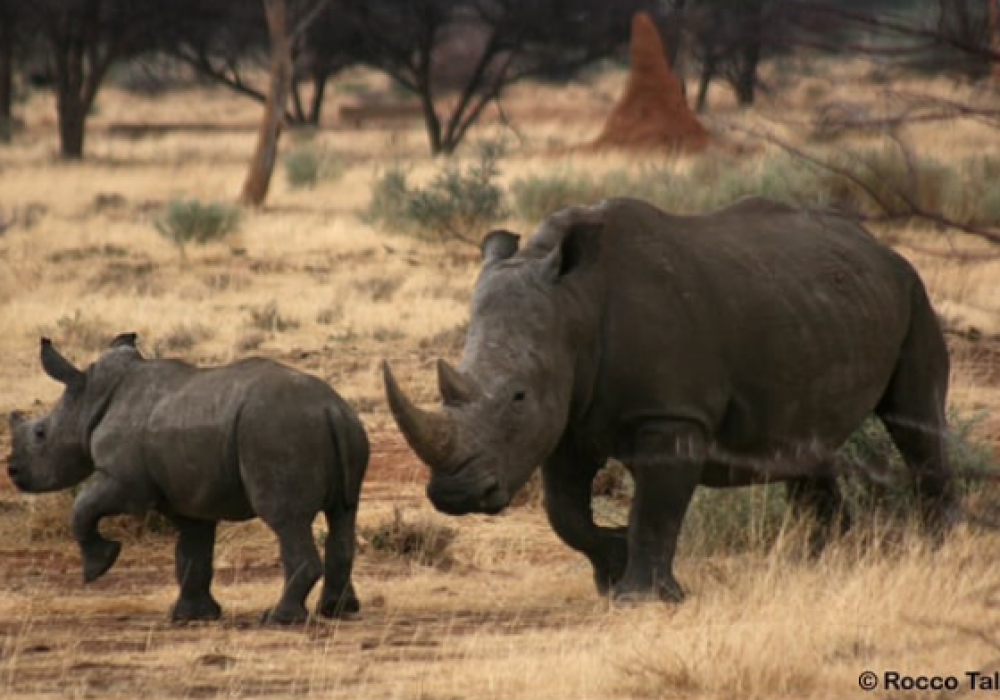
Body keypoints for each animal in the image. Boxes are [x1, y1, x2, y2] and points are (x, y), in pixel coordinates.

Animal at [7, 334, 368, 624]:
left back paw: (278, 619)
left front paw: (98, 566)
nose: (12, 471)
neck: (90, 402)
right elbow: (191, 552)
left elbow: (82, 508)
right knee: (342, 514)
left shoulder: (123, 481)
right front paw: (190, 616)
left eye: (40, 434)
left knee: (285, 520)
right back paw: (337, 611)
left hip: (276, 432)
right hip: (343, 429)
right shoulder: (190, 495)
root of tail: (330, 409)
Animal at [380, 196, 952, 600]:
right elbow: (563, 511)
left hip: (914, 291)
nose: (454, 496)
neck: (575, 304)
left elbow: (657, 505)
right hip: (818, 303)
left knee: (915, 419)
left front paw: (642, 597)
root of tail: (879, 245)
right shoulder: (568, 416)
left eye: (518, 397)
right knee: (804, 441)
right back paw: (822, 564)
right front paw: (611, 564)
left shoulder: (671, 413)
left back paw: (939, 549)